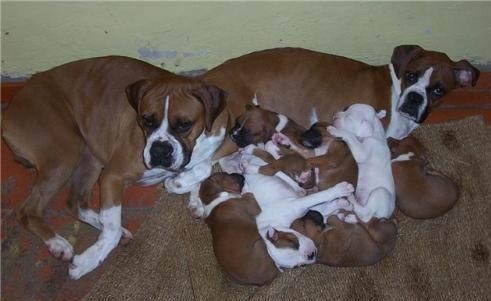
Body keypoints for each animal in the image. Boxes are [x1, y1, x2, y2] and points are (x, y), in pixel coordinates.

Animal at [1, 56, 231, 278]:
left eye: (184, 124)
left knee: (75, 201)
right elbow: (111, 225)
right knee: (28, 210)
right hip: (65, 153)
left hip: (89, 155)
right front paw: (88, 261)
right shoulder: (113, 176)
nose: (159, 150)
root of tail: (12, 105)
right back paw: (58, 243)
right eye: (146, 120)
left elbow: (203, 169)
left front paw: (189, 192)